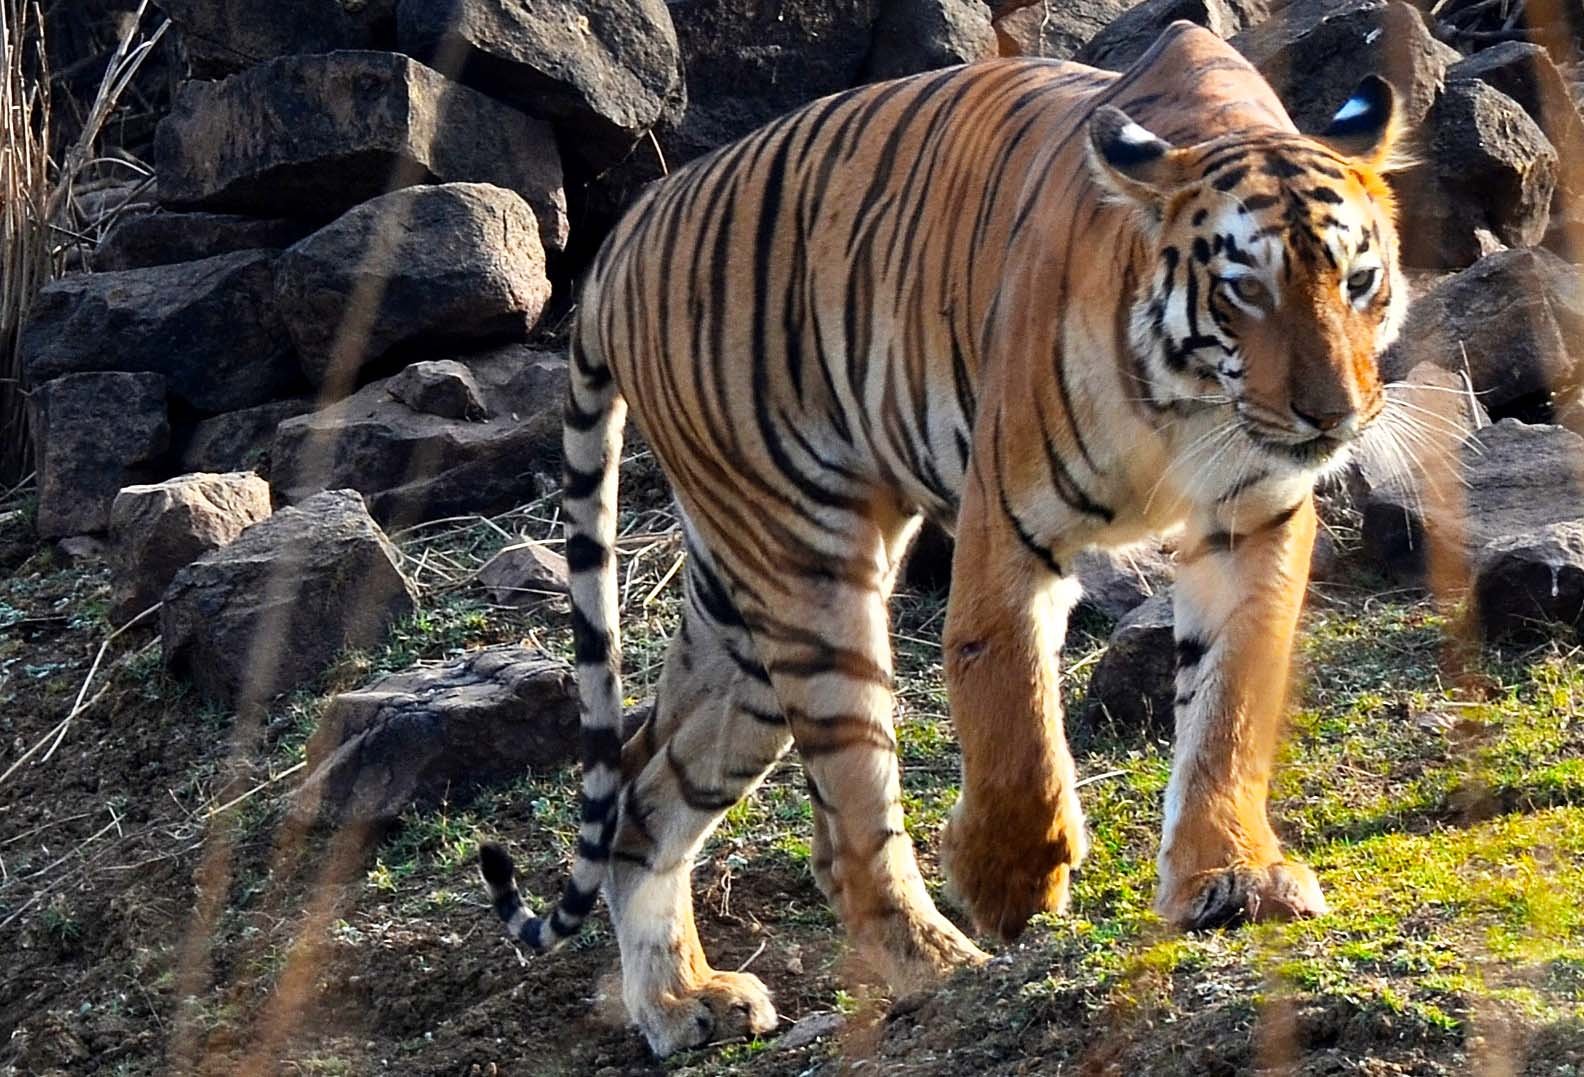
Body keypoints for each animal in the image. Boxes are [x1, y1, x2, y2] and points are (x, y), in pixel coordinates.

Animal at [475, 20, 1406, 1057]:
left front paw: (1231, 876)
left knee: (644, 794)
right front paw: (1011, 880)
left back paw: (684, 1001)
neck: (1192, 402)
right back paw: (940, 966)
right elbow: (1010, 708)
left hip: (739, 623)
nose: (1334, 414)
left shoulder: (1254, 521)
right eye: (1245, 291)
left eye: (1359, 282)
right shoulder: (1009, 521)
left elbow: (1228, 709)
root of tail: (622, 239)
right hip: (808, 570)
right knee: (850, 829)